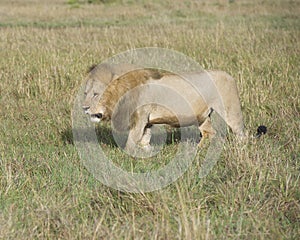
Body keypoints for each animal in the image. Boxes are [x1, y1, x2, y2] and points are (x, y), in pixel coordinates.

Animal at [84, 68, 268, 154]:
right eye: (85, 93)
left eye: (96, 94)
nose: (84, 108)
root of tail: (230, 75)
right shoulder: (146, 120)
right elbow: (144, 138)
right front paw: (148, 151)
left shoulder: (140, 117)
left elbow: (132, 139)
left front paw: (128, 155)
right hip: (202, 117)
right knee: (209, 133)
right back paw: (196, 150)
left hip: (230, 110)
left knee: (241, 134)